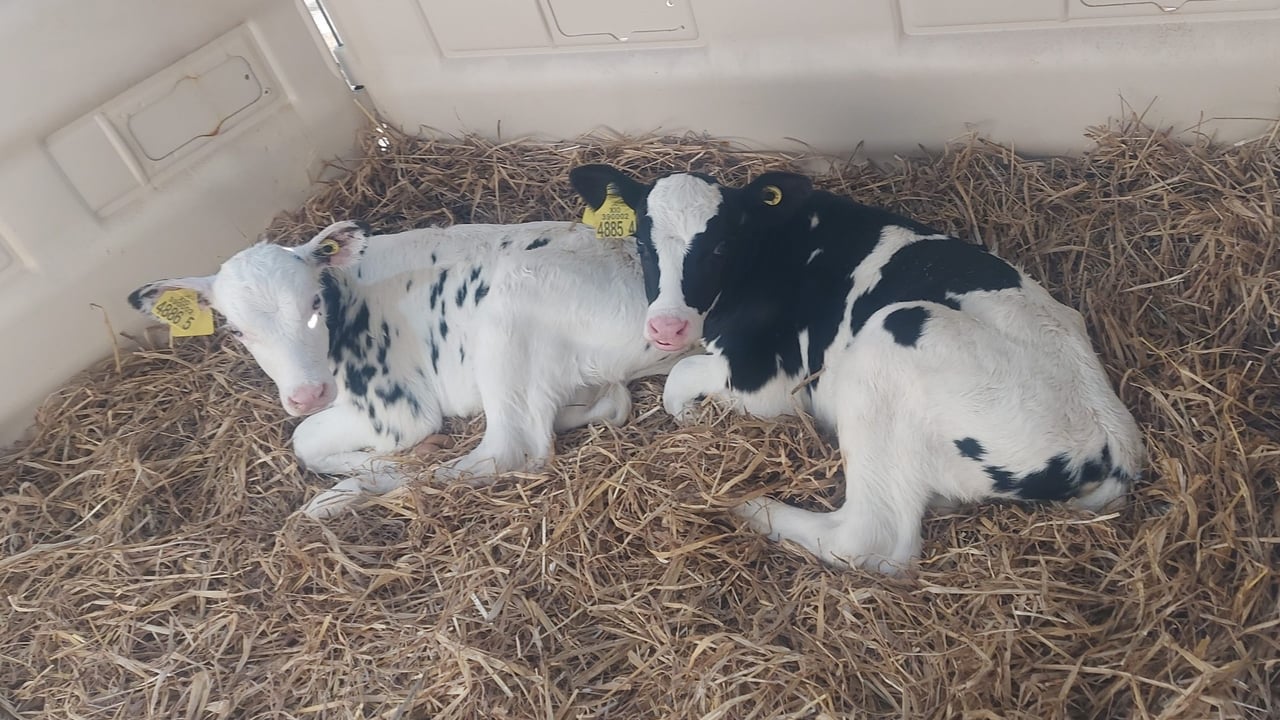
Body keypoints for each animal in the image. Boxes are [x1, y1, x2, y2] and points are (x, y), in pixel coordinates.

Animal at [128, 219, 684, 518]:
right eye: (238, 330)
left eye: (314, 303)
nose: (307, 394)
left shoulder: (396, 409)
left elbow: (303, 440)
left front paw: (375, 468)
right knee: (608, 403)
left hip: (510, 313)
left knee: (509, 450)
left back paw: (347, 496)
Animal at [569, 164, 1144, 575]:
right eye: (643, 242)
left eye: (720, 246)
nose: (666, 326)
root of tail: (1110, 446)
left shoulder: (769, 382)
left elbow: (678, 381)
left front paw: (693, 417)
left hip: (894, 340)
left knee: (870, 538)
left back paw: (753, 509)